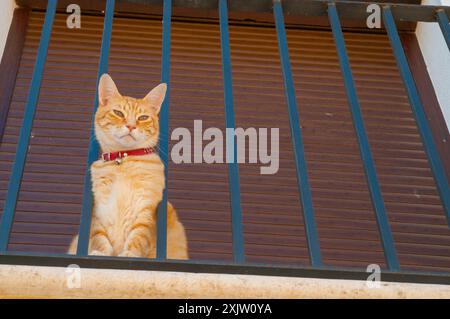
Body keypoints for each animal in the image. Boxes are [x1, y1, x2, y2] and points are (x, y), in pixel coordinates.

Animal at [67, 74, 187, 258]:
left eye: (143, 118)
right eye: (118, 113)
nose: (131, 126)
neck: (122, 159)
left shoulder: (145, 208)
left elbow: (138, 235)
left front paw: (130, 253)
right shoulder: (98, 210)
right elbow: (99, 237)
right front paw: (101, 253)